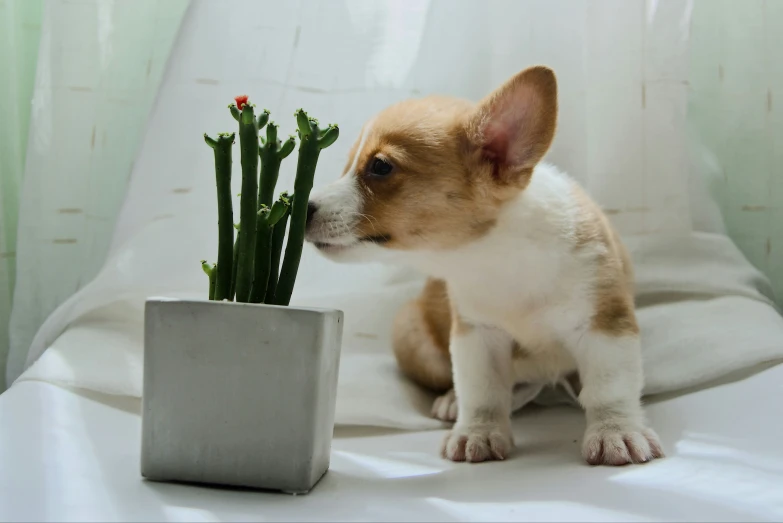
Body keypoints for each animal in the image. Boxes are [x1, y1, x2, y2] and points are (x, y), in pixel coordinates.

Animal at [304, 66, 664, 466]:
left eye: (380, 167)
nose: (302, 207)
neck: (495, 256)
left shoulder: (606, 325)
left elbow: (609, 388)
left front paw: (616, 432)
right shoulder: (477, 335)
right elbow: (483, 391)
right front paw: (478, 432)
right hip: (410, 333)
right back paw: (451, 401)